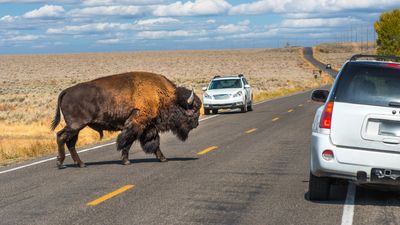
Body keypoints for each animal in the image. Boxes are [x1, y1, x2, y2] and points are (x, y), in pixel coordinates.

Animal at [50, 71, 200, 168]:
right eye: (193, 110)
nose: (197, 124)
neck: (162, 95)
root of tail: (66, 91)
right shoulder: (136, 124)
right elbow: (126, 142)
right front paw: (126, 161)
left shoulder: (148, 127)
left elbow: (154, 143)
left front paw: (163, 158)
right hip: (76, 125)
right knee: (61, 137)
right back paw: (60, 163)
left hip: (76, 127)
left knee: (70, 143)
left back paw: (81, 164)